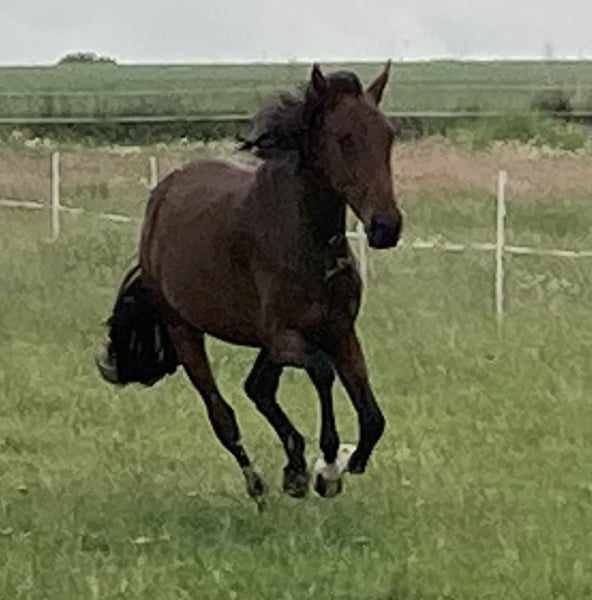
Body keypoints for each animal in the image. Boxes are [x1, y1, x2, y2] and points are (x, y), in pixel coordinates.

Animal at [96, 61, 403, 506]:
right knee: (222, 413)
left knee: (257, 388)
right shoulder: (285, 337)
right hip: (184, 331)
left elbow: (372, 415)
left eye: (387, 136)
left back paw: (293, 469)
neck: (307, 242)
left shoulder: (339, 330)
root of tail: (161, 197)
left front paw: (341, 463)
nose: (386, 227)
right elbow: (323, 372)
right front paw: (328, 465)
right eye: (343, 138)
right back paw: (259, 484)